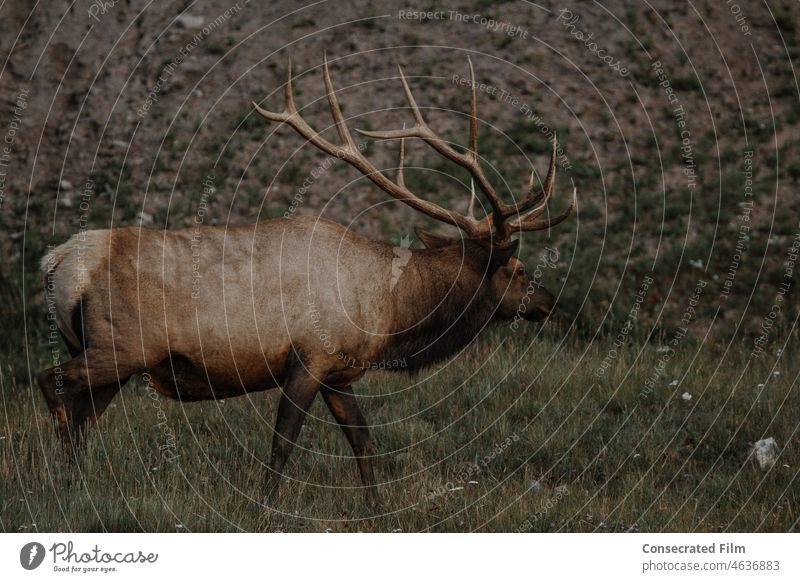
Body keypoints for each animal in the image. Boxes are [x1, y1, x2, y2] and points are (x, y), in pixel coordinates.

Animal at [37, 54, 576, 512]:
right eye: (519, 270)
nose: (551, 303)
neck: (389, 310)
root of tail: (58, 262)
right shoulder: (308, 357)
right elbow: (283, 441)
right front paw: (264, 508)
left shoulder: (339, 371)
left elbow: (363, 441)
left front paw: (377, 509)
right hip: (121, 346)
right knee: (54, 386)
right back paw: (65, 482)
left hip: (116, 360)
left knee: (84, 413)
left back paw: (79, 483)